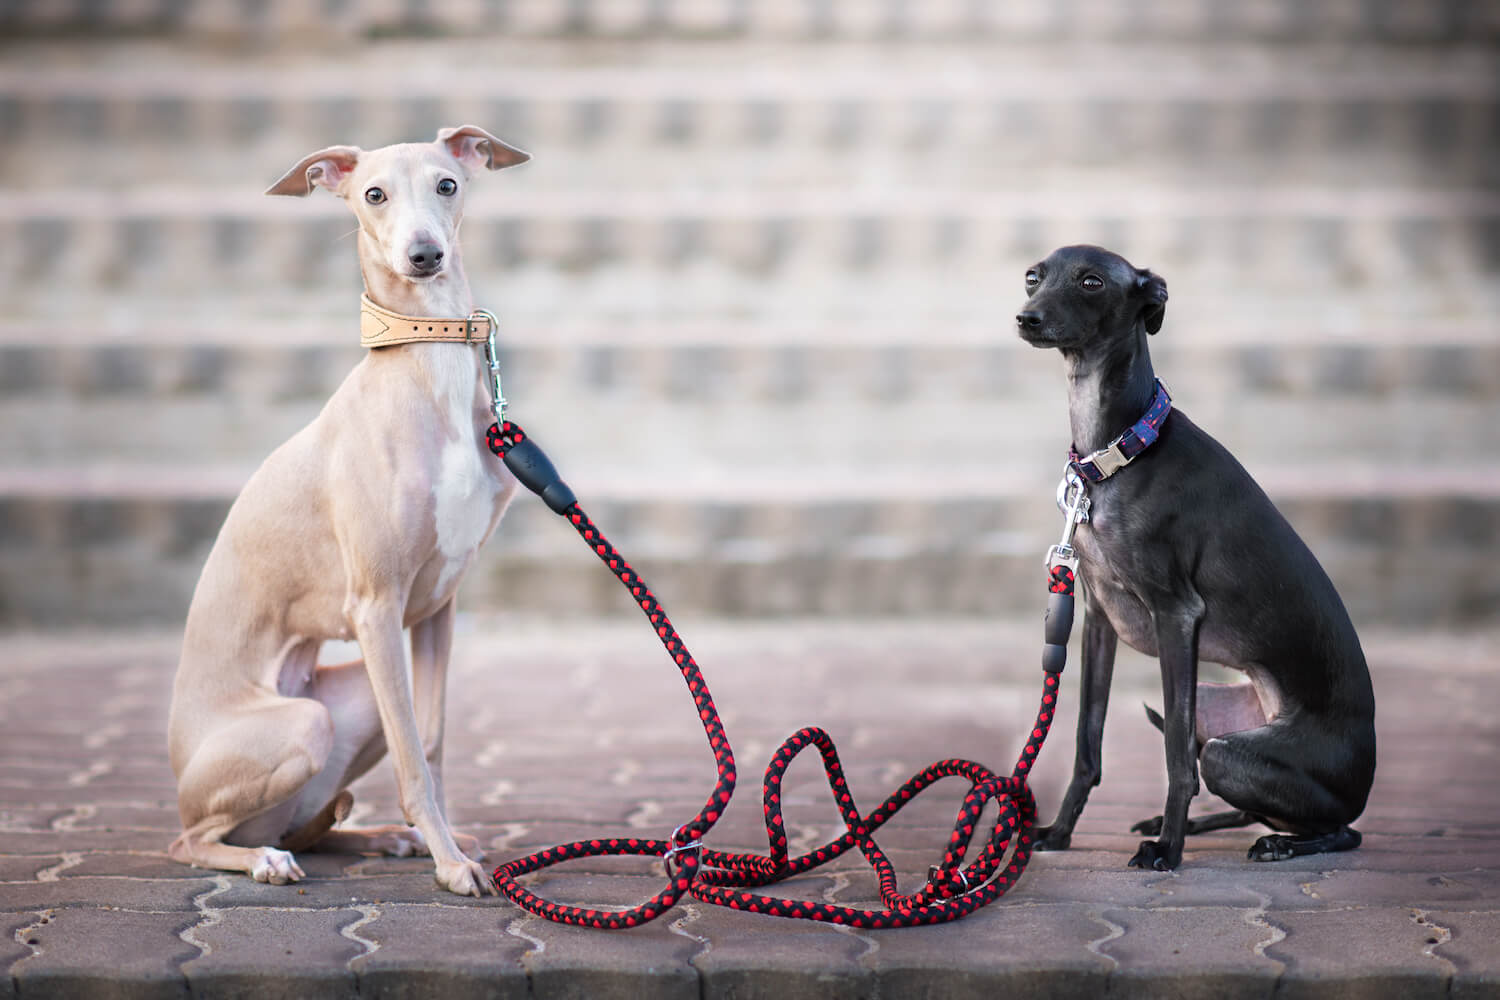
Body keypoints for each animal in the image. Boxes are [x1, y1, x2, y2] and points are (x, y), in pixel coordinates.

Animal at [162, 125, 528, 899]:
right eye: (374, 194)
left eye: (448, 184)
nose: (424, 255)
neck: (428, 365)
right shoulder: (377, 603)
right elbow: (414, 754)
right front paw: (451, 863)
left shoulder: (436, 608)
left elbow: (432, 739)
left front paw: (440, 841)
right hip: (301, 723)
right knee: (194, 839)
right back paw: (266, 861)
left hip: (351, 699)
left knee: (311, 820)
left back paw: (382, 837)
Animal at [1020, 242, 1374, 869]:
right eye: (1033, 277)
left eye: (1091, 282)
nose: (1026, 318)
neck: (1121, 452)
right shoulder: (1098, 618)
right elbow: (1088, 743)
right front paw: (1059, 833)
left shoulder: (1175, 615)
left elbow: (1177, 755)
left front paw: (1167, 850)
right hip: (1218, 711)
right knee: (1257, 804)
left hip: (1233, 754)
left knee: (1337, 826)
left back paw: (1276, 844)